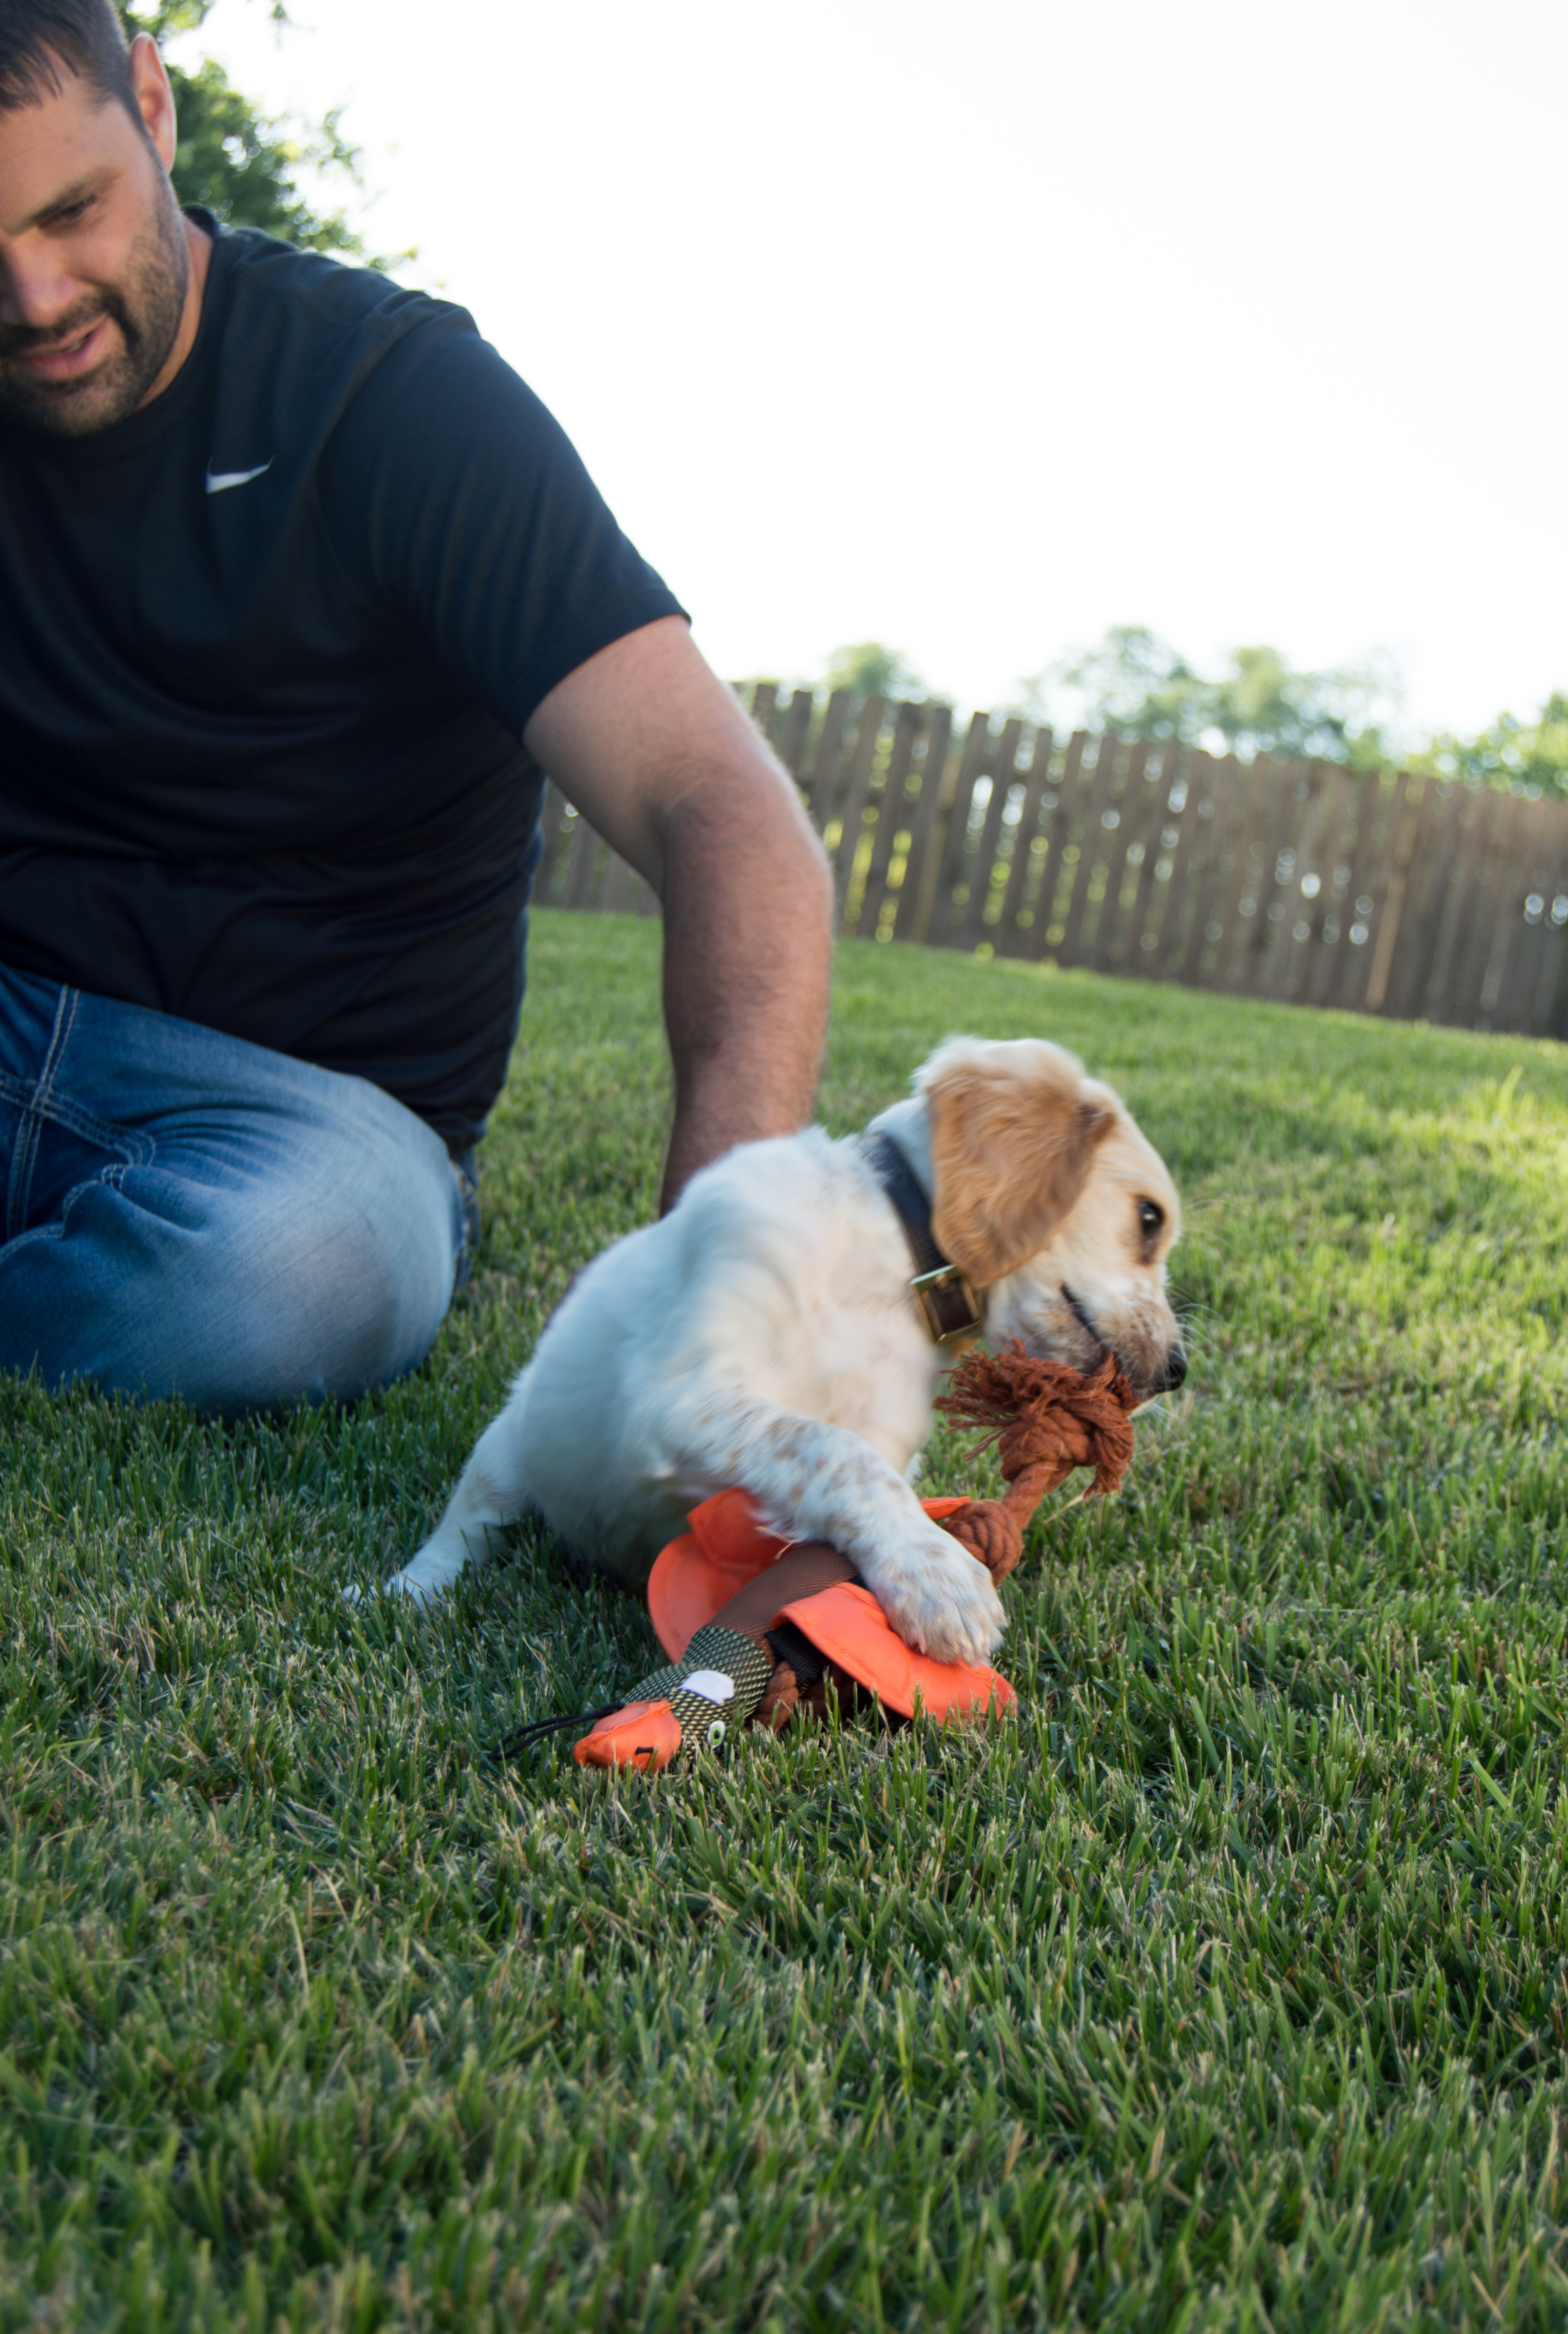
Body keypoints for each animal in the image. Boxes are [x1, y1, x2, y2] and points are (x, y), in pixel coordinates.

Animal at [385, 1036, 1181, 1661]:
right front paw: (938, 1575)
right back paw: (407, 1591)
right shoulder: (673, 1398)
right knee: (466, 1525)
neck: (889, 1267)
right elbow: (833, 1449)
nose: (1178, 1370)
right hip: (506, 1448)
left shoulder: (883, 1436)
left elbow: (844, 1488)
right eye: (1149, 1219)